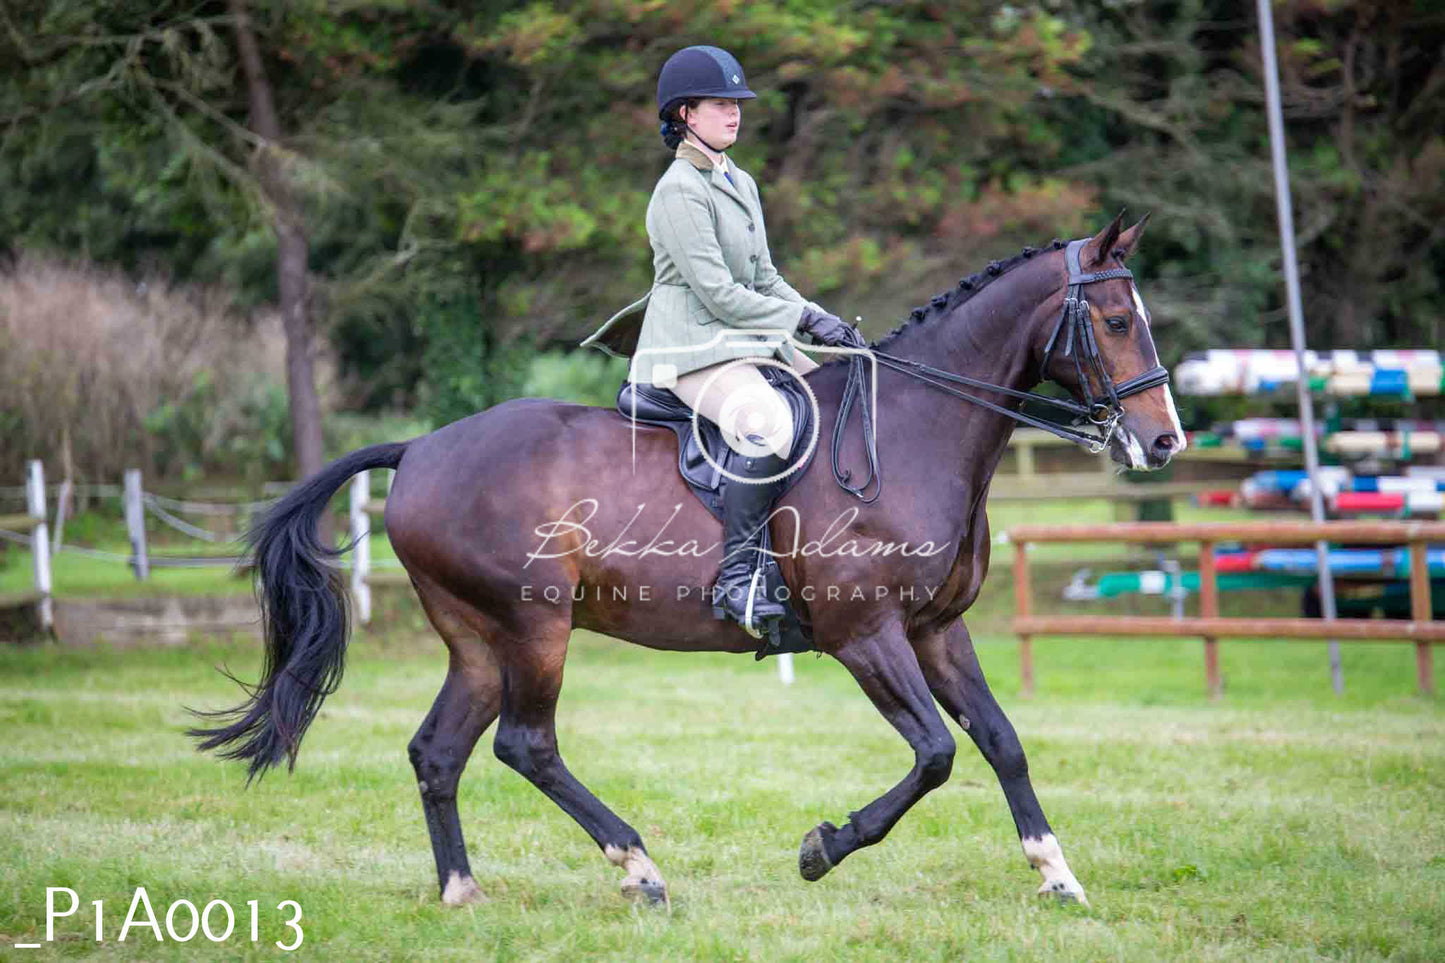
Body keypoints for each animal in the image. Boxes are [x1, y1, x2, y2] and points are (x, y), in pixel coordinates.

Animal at [191, 211, 1184, 909]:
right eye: (1110, 319)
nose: (1164, 441)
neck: (910, 430)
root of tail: (420, 449)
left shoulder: (938, 630)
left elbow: (1000, 740)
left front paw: (1056, 873)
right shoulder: (866, 634)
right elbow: (936, 753)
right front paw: (822, 846)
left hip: (476, 636)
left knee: (440, 751)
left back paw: (462, 890)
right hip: (532, 624)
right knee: (526, 742)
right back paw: (638, 867)